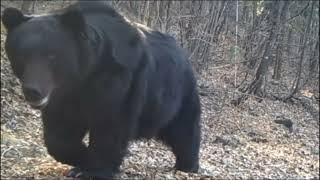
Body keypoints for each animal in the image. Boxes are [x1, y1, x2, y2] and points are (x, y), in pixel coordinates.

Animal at [2, 1, 201, 179]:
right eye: (22, 55)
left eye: (52, 55)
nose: (32, 91)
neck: (85, 75)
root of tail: (184, 55)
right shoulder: (64, 98)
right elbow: (59, 133)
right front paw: (81, 157)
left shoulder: (119, 81)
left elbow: (111, 124)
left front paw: (93, 169)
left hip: (179, 94)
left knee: (185, 129)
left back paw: (187, 166)